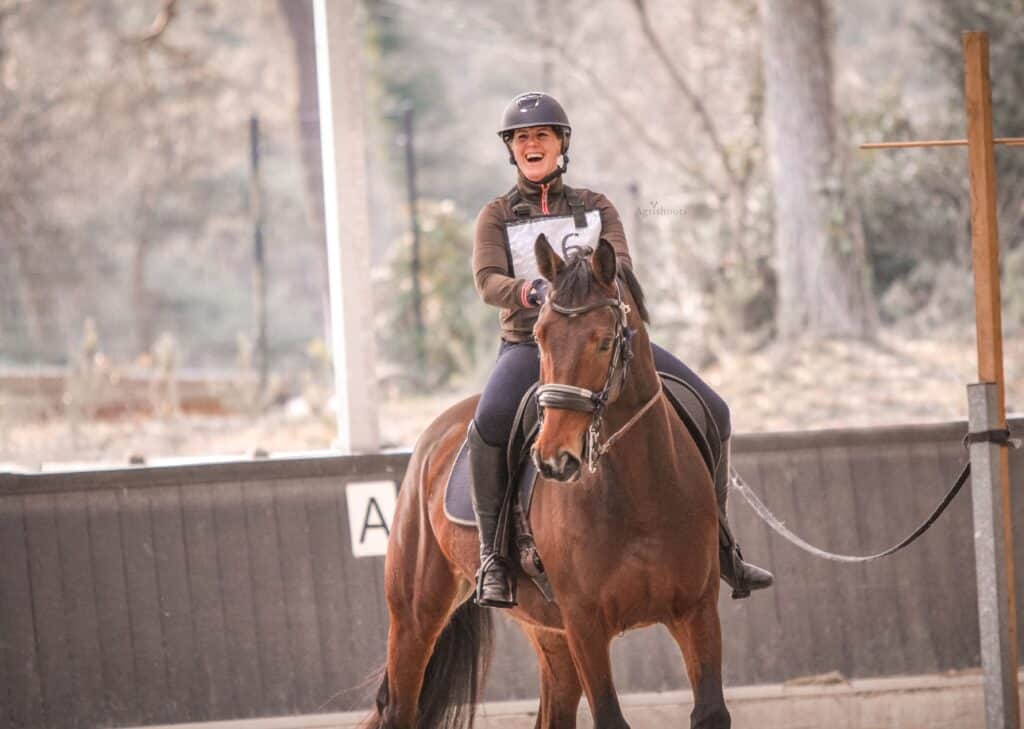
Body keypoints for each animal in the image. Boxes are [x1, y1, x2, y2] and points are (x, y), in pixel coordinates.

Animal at [364, 235, 729, 729]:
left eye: (605, 342)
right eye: (539, 336)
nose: (555, 459)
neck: (641, 494)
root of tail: (435, 433)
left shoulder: (697, 611)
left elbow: (711, 712)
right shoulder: (585, 625)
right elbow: (610, 717)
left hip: (548, 632)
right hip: (415, 617)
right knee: (401, 705)